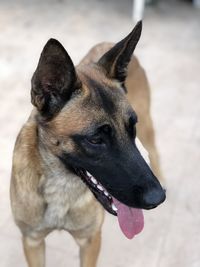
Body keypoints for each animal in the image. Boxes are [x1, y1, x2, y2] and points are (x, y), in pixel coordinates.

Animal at [9, 21, 166, 267]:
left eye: (131, 128)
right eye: (95, 140)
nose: (158, 198)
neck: (60, 184)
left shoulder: (90, 241)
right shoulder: (32, 241)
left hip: (148, 128)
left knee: (155, 152)